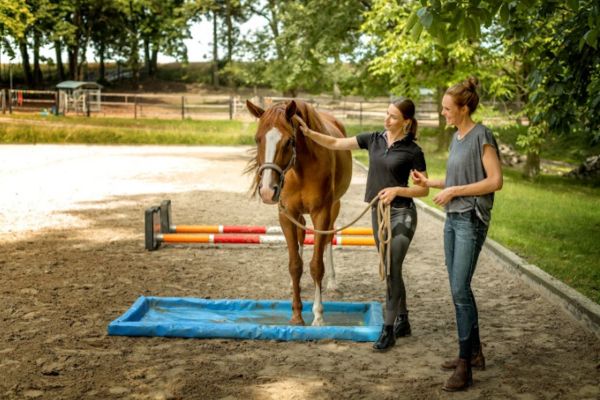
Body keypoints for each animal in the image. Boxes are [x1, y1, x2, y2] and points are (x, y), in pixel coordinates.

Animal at [247, 99, 354, 324]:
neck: (300, 169)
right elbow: (295, 264)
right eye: (257, 139)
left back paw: (332, 281)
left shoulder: (321, 213)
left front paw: (318, 315)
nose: (267, 190)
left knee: (328, 239)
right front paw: (296, 315)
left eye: (289, 141)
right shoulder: (287, 215)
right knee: (301, 236)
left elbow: (317, 265)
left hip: (334, 207)